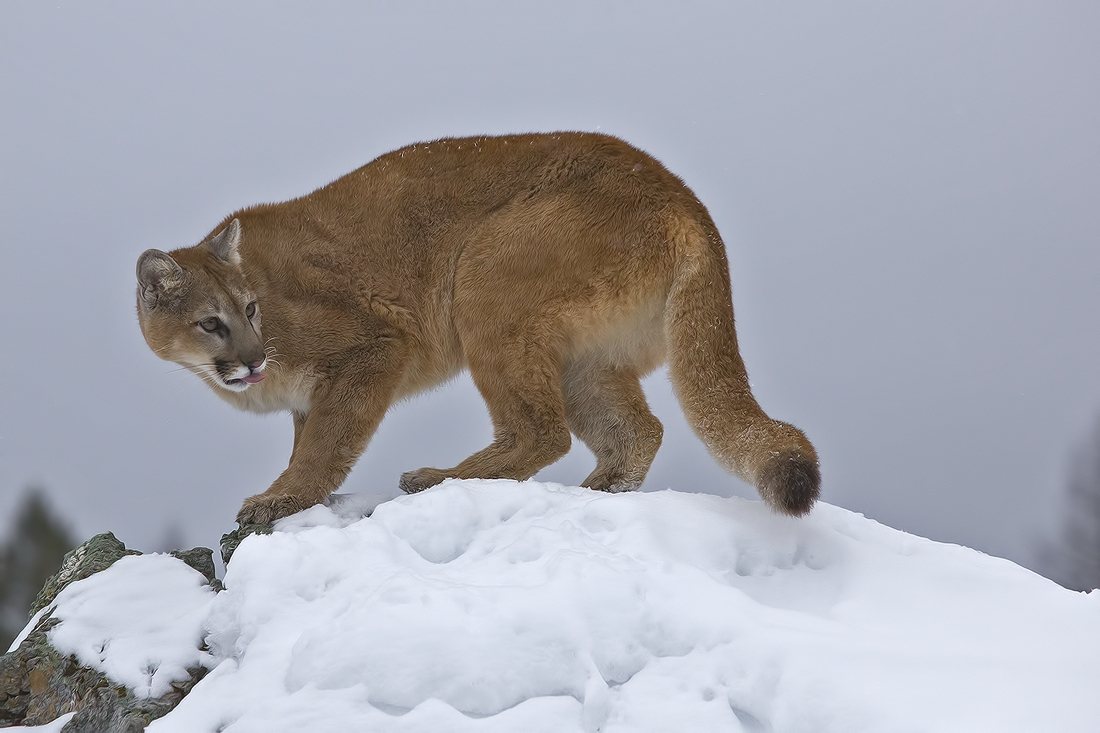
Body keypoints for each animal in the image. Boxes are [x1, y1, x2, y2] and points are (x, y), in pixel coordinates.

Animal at [135, 129, 818, 519]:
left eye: (250, 310)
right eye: (211, 323)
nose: (254, 359)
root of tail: (684, 198)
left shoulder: (374, 346)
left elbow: (327, 444)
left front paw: (281, 499)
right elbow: (312, 438)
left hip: (486, 278)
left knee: (542, 432)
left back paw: (437, 479)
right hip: (586, 358)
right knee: (636, 432)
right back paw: (594, 493)